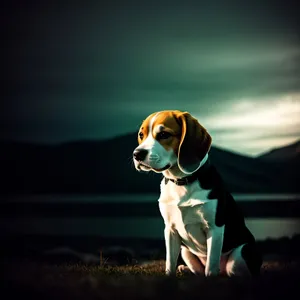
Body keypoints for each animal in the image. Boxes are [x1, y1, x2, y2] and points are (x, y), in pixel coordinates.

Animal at [134, 109, 262, 276]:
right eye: (141, 135)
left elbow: (211, 267)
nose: (137, 154)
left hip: (239, 256)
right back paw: (184, 268)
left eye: (164, 134)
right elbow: (170, 263)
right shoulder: (170, 229)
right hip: (185, 251)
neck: (182, 181)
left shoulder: (215, 228)